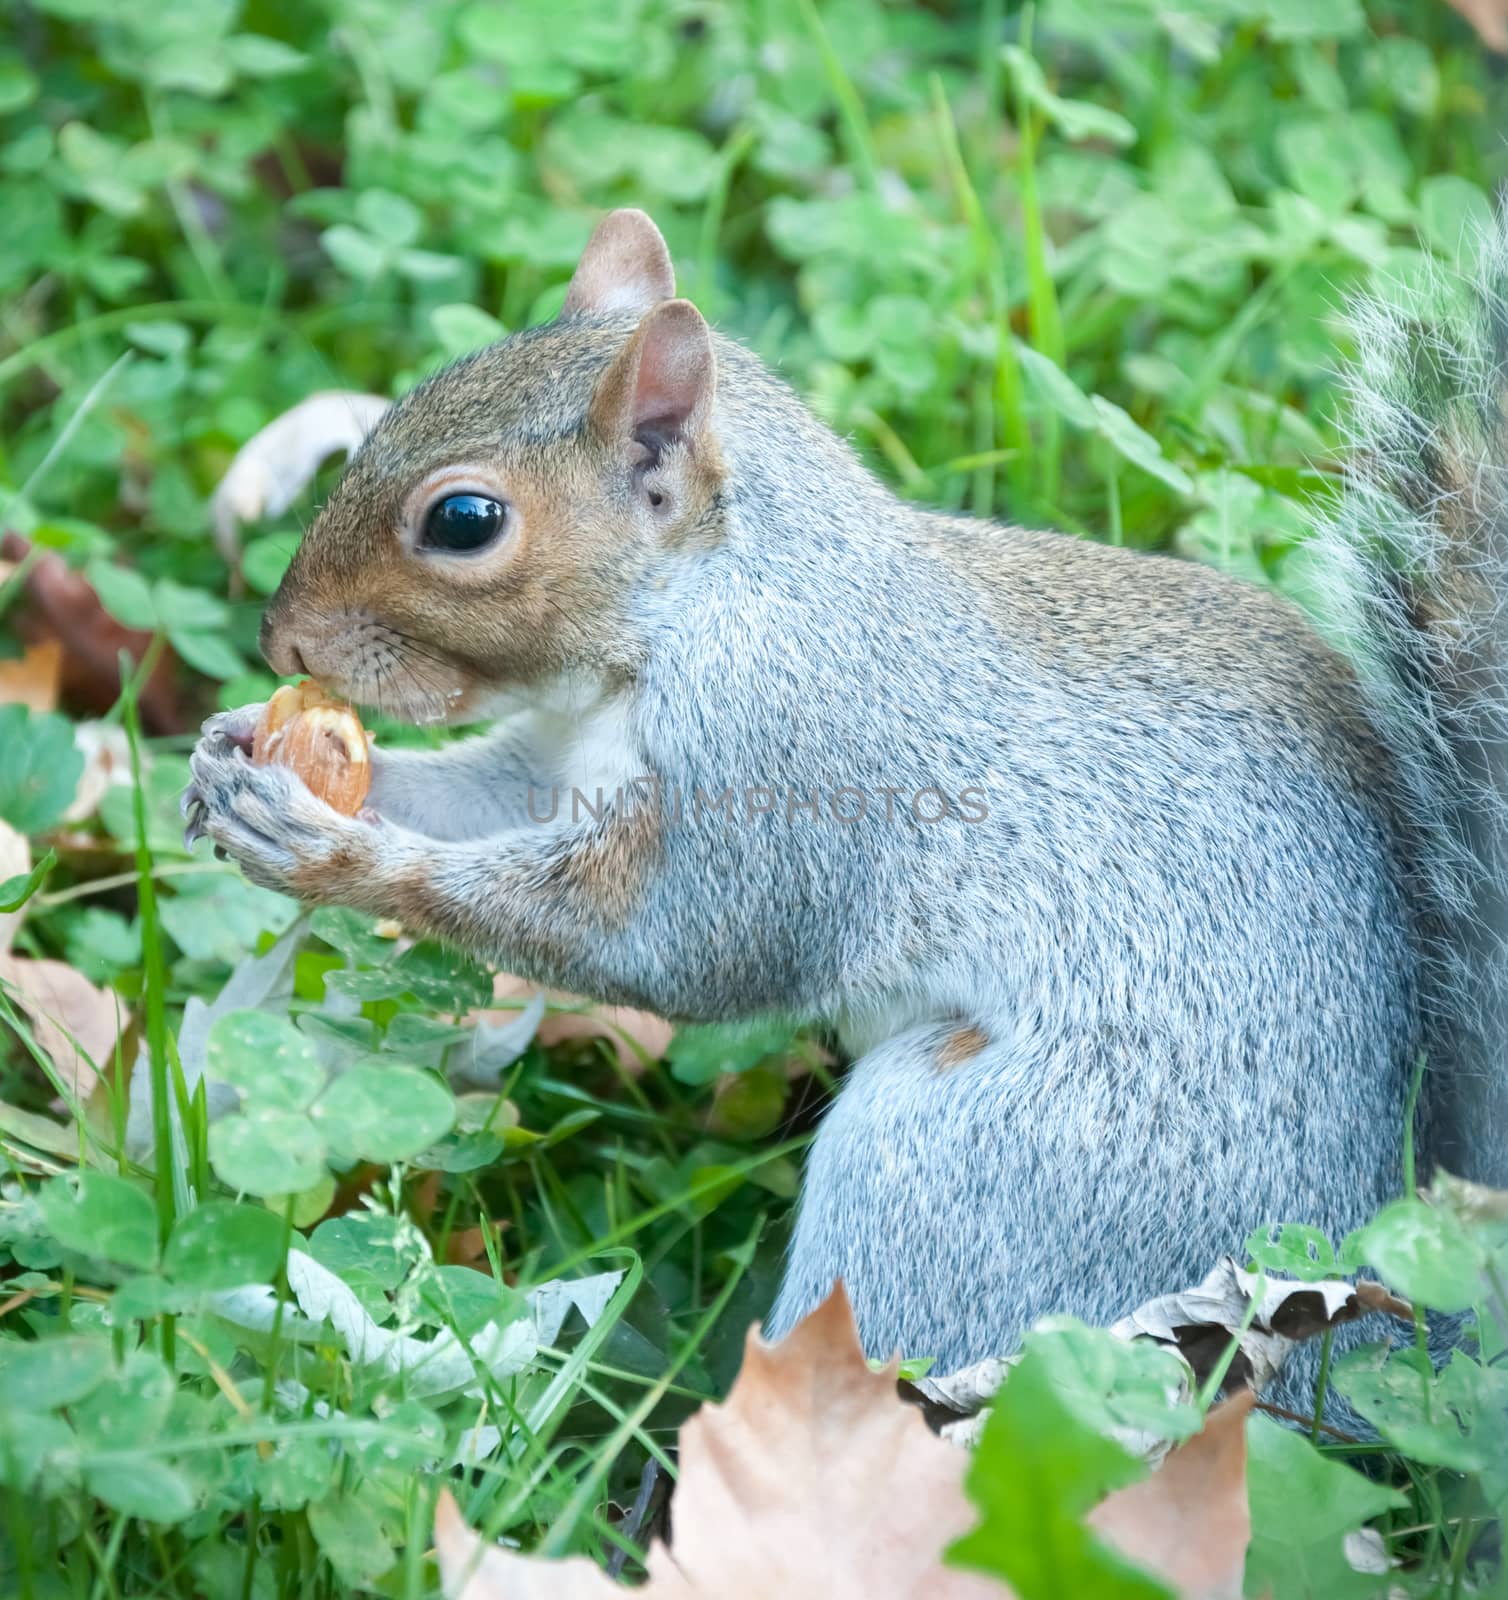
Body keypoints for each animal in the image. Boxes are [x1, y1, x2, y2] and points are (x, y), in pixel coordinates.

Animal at [185, 200, 1508, 1376]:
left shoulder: (789, 771)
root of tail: (1378, 1316)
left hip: (959, 1172)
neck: (703, 610)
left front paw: (331, 853)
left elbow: (668, 946)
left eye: (464, 520)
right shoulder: (553, 765)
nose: (279, 638)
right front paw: (237, 750)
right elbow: (471, 797)